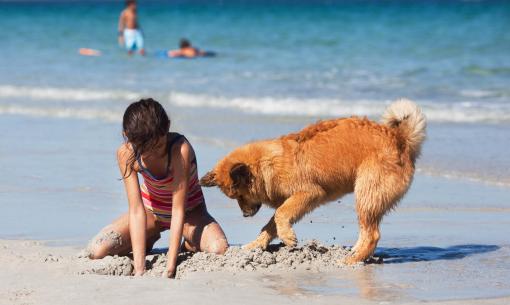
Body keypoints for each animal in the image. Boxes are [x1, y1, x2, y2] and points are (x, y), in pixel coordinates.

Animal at [200, 98, 426, 262]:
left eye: (239, 195)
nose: (245, 215)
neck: (267, 164)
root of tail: (400, 139)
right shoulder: (294, 200)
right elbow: (271, 224)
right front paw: (256, 245)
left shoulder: (309, 193)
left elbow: (280, 215)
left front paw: (287, 238)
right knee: (367, 231)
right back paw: (354, 253)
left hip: (367, 193)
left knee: (372, 234)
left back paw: (352, 261)